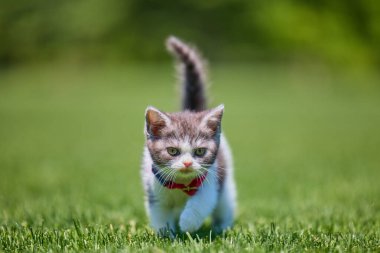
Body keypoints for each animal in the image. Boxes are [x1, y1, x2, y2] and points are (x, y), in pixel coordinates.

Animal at [142, 36, 236, 237]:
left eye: (200, 151)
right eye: (172, 151)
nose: (187, 163)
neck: (181, 185)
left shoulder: (210, 183)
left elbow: (201, 203)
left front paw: (188, 224)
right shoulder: (153, 189)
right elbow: (160, 214)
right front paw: (166, 234)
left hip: (225, 185)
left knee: (225, 206)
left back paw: (222, 227)